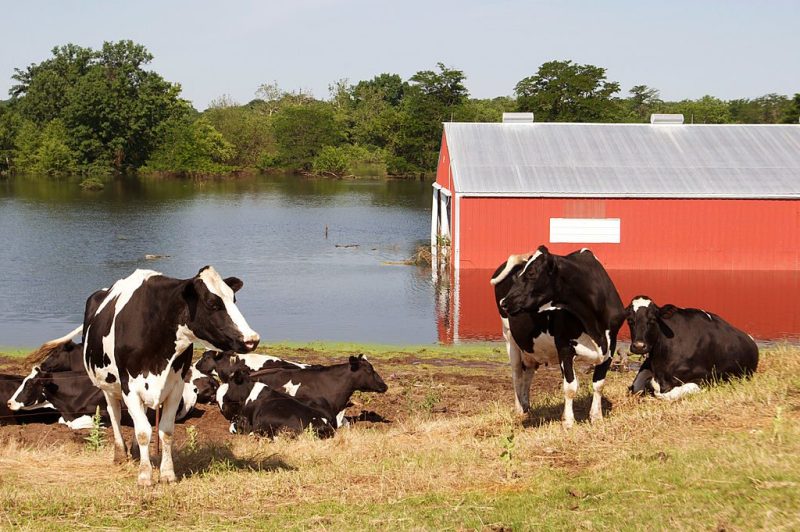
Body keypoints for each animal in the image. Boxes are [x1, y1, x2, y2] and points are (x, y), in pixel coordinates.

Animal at [33, 266, 260, 485]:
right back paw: (120, 454)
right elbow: (143, 432)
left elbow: (165, 431)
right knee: (115, 415)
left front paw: (167, 473)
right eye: (212, 303)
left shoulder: (176, 386)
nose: (252, 339)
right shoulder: (129, 388)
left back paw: (135, 453)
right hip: (108, 386)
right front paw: (144, 476)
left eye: (233, 299)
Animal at [491, 246, 626, 428]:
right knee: (517, 373)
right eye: (520, 275)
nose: (504, 302)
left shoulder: (610, 346)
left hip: (529, 346)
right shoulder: (564, 346)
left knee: (529, 371)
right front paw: (568, 422)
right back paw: (519, 410)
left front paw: (597, 417)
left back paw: (526, 406)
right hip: (509, 337)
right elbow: (570, 387)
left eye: (531, 273)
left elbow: (599, 384)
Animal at [626, 296, 759, 400]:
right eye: (630, 320)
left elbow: (667, 393)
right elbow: (636, 387)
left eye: (653, 319)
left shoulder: (707, 378)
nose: (639, 346)